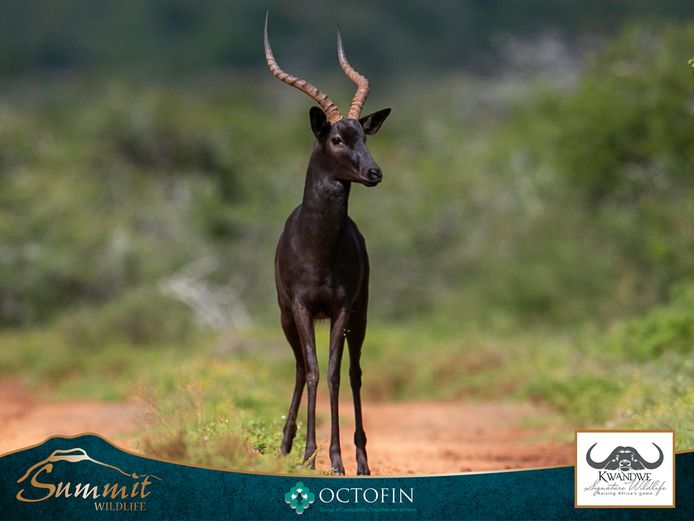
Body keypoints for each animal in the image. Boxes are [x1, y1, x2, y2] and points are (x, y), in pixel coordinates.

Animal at [264, 13, 390, 475]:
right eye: (336, 138)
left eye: (364, 136)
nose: (374, 172)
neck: (317, 249)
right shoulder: (300, 307)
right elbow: (315, 371)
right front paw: (306, 454)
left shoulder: (340, 308)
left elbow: (335, 374)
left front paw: (335, 459)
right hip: (285, 317)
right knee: (301, 367)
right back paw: (285, 446)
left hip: (362, 314)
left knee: (354, 372)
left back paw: (362, 460)